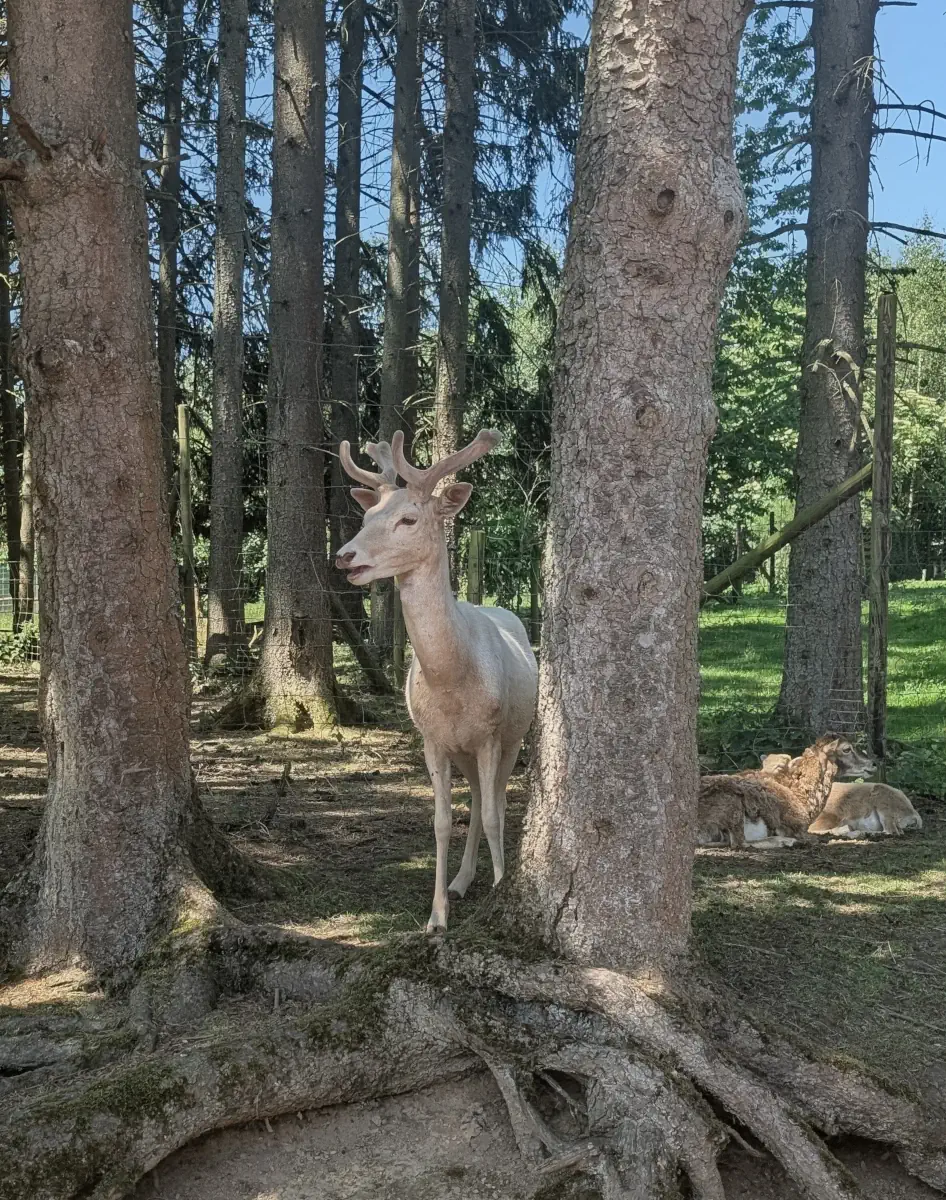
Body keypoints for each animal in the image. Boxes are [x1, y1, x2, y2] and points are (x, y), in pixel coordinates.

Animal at [336, 429, 539, 934]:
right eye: (366, 516)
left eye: (408, 519)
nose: (344, 556)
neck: (451, 685)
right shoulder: (432, 739)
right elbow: (443, 821)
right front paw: (436, 918)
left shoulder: (489, 735)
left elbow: (492, 815)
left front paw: (500, 887)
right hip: (462, 751)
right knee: (476, 799)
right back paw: (461, 881)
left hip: (514, 735)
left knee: (496, 800)